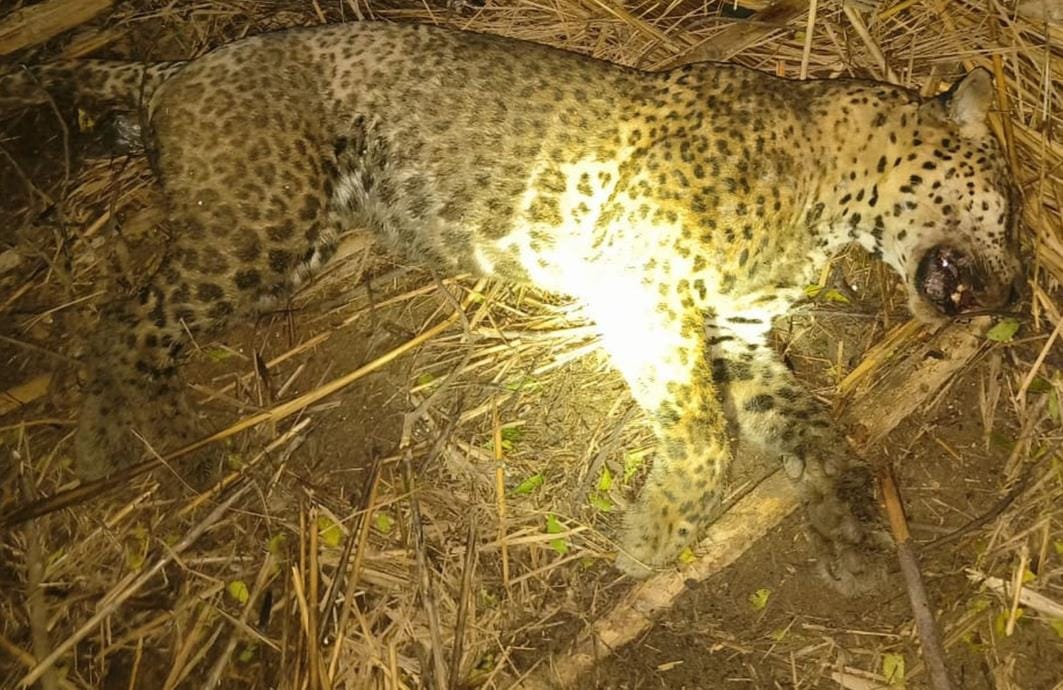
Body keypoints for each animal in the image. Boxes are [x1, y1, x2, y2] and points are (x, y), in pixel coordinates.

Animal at [0, 21, 1022, 589]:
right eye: (1010, 213)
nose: (1013, 290)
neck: (829, 194)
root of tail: (177, 72)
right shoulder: (645, 280)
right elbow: (704, 433)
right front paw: (652, 542)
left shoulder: (734, 335)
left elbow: (808, 429)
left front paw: (850, 533)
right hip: (260, 225)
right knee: (124, 325)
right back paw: (139, 449)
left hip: (293, 235)